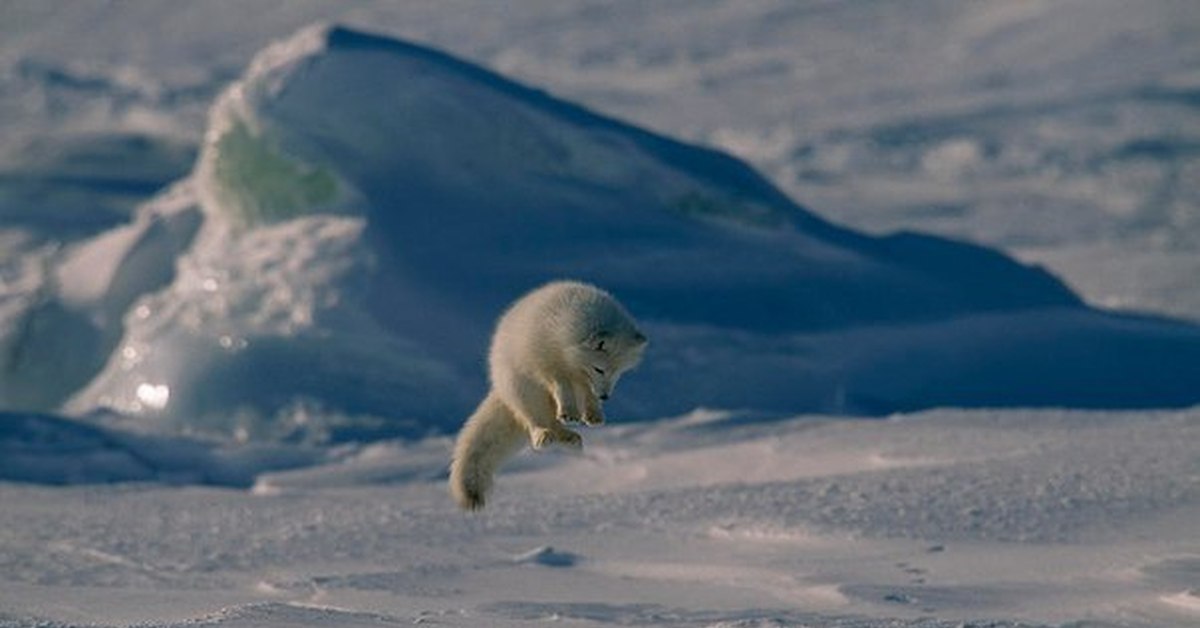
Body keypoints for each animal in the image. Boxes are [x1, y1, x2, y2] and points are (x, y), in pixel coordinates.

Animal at [451, 279, 648, 511]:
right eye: (599, 369)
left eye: (619, 373)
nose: (605, 397)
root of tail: (500, 388)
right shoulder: (548, 365)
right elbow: (561, 386)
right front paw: (570, 410)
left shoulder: (581, 378)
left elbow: (587, 395)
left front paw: (593, 415)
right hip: (524, 391)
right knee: (534, 421)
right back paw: (543, 435)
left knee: (554, 423)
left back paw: (569, 437)